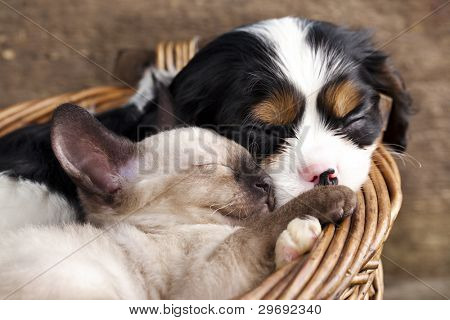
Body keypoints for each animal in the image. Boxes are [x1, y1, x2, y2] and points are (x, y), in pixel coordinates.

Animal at [0, 105, 356, 300]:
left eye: (254, 165)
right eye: (209, 166)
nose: (266, 183)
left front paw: (297, 242)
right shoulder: (209, 282)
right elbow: (254, 232)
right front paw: (333, 198)